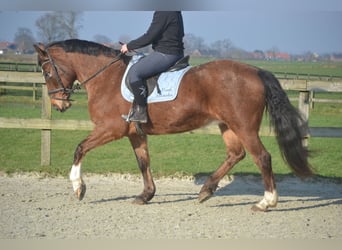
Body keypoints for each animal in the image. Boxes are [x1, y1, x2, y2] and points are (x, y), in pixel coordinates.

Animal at [34, 39, 312, 211]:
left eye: (47, 72)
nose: (59, 104)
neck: (107, 78)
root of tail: (256, 71)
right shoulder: (135, 133)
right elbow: (143, 162)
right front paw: (146, 195)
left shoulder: (110, 129)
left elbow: (80, 148)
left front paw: (78, 188)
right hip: (228, 125)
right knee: (236, 154)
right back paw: (206, 190)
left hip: (244, 127)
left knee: (262, 157)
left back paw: (266, 202)